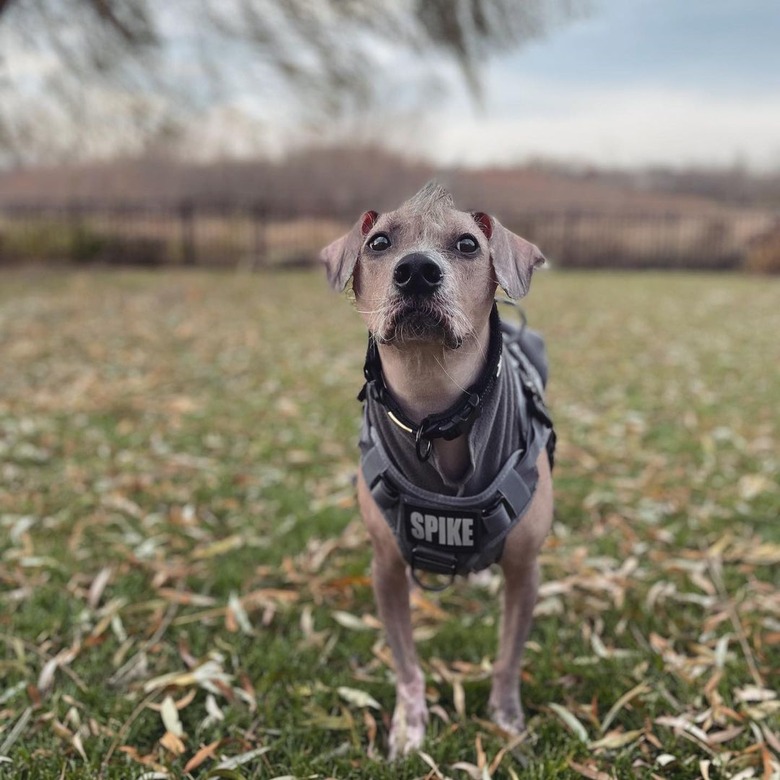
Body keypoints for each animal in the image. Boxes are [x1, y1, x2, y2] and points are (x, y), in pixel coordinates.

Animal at [318, 181, 556, 756]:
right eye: (379, 242)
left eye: (468, 244)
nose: (418, 271)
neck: (436, 412)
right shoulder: (385, 567)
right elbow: (406, 664)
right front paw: (410, 723)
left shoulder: (526, 569)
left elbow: (509, 657)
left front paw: (506, 717)